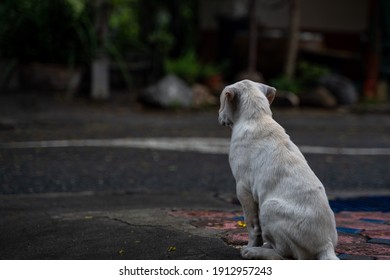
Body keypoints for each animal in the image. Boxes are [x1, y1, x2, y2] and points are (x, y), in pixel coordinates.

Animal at [219, 80, 338, 260]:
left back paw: (254, 252)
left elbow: (252, 225)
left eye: (221, 103)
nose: (218, 117)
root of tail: (326, 245)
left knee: (285, 255)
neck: (257, 118)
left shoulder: (243, 187)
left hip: (269, 207)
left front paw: (251, 245)